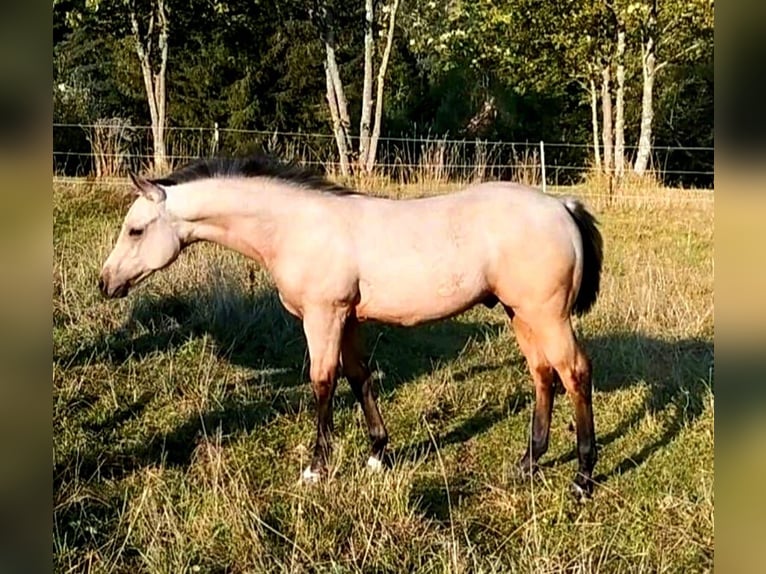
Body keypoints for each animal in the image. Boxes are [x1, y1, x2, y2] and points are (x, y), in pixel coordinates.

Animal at [98, 156, 603, 498]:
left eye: (136, 230)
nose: (106, 283)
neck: (297, 227)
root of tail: (562, 205)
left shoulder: (323, 315)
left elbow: (322, 381)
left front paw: (316, 467)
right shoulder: (347, 319)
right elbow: (359, 377)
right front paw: (378, 453)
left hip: (546, 315)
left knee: (575, 373)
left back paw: (582, 477)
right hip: (521, 314)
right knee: (543, 375)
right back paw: (528, 463)